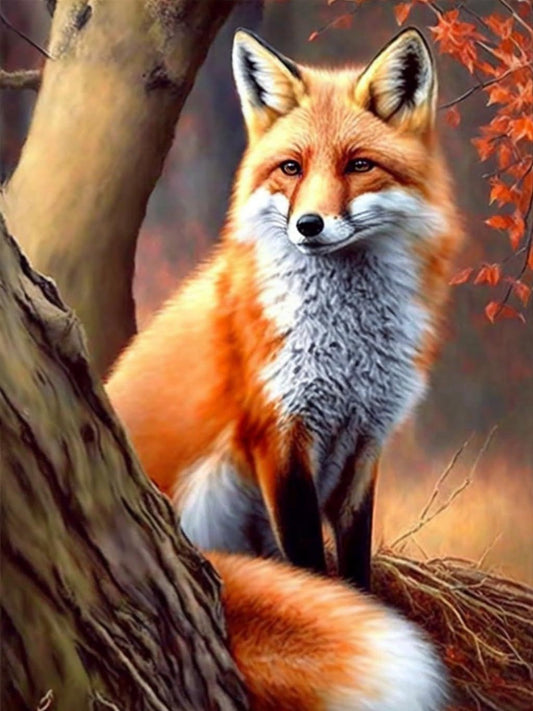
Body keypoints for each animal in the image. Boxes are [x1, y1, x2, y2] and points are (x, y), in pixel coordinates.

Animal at [107, 28, 463, 590]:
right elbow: (311, 563)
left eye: (359, 165)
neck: (347, 348)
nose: (308, 225)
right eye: (291, 168)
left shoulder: (364, 441)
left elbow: (354, 561)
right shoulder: (278, 438)